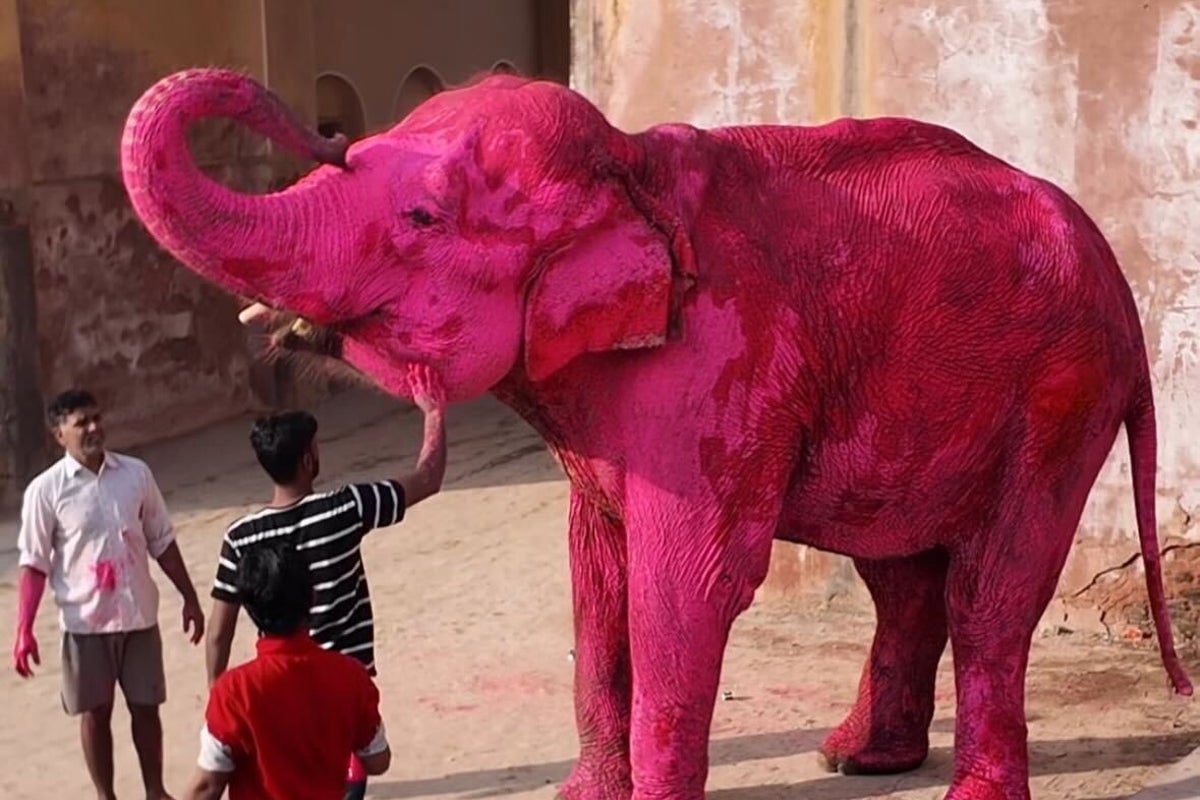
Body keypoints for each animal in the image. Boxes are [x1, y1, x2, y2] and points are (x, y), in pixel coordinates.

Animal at [120, 68, 1191, 800]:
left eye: (421, 215)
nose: (322, 123)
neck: (628, 169)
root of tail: (1119, 279)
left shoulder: (718, 368)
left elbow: (692, 582)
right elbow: (595, 573)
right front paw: (584, 797)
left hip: (1062, 395)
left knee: (988, 592)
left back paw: (954, 784)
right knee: (898, 575)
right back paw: (855, 759)